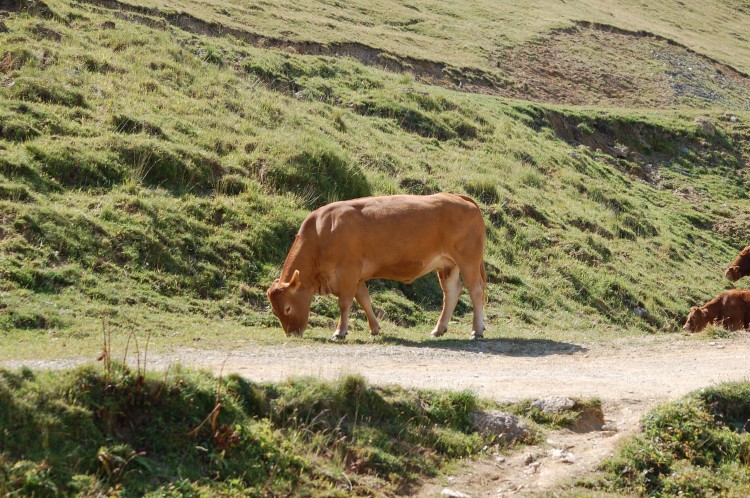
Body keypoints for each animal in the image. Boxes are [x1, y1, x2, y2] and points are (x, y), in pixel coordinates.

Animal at [268, 193, 490, 340]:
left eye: (287, 308)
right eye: (275, 312)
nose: (292, 334)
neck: (322, 233)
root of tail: (459, 197)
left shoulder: (348, 271)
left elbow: (345, 303)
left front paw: (340, 332)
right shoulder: (356, 277)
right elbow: (364, 300)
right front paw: (374, 328)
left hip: (468, 260)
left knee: (475, 291)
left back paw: (477, 330)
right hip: (447, 265)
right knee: (452, 292)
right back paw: (439, 329)